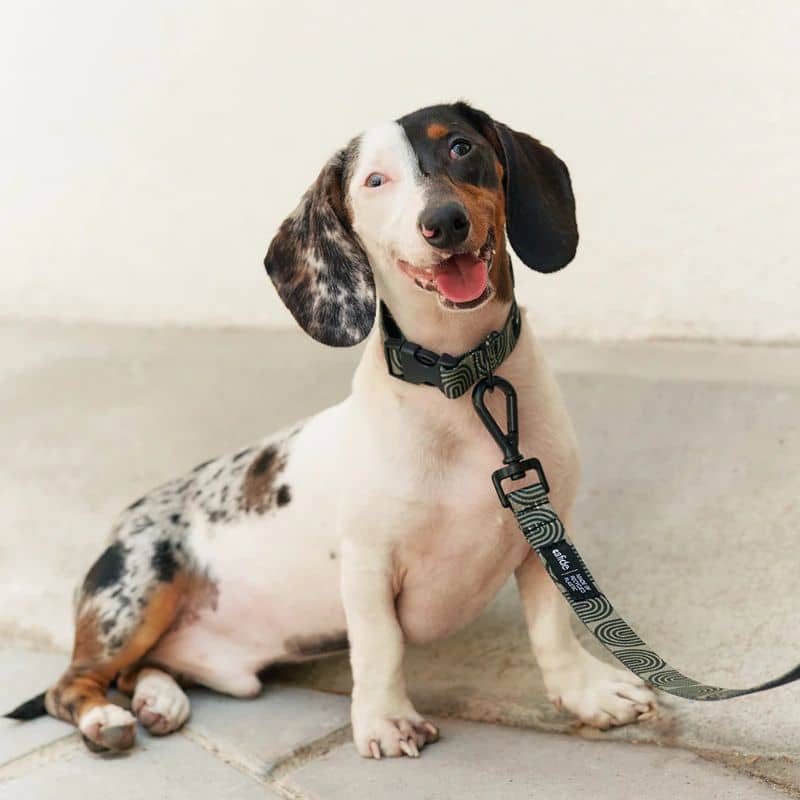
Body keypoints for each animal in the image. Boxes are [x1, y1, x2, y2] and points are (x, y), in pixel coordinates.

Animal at [6, 101, 656, 756]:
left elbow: (551, 625)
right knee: (74, 684)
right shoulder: (368, 564)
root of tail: (125, 521)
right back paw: (106, 718)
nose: (443, 222)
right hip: (136, 596)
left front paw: (587, 693)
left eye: (462, 147)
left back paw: (158, 698)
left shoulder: (545, 533)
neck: (460, 379)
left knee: (141, 671)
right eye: (375, 181)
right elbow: (380, 646)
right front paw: (387, 719)